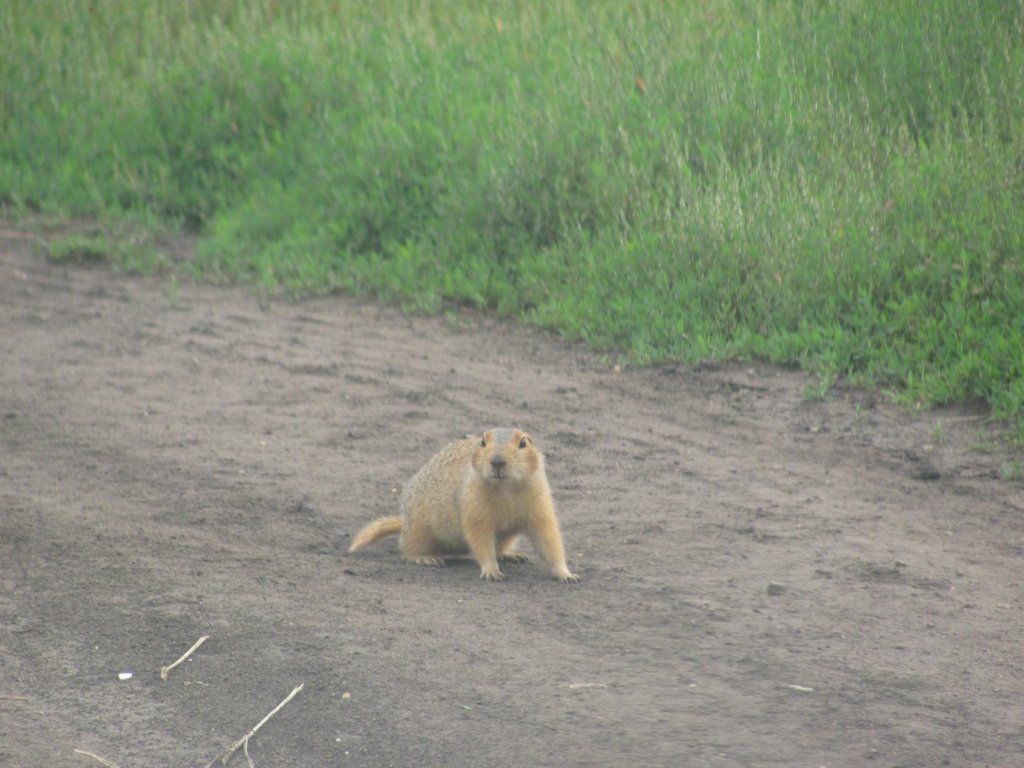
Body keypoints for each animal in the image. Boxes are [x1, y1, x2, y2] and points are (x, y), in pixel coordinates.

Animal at [350, 428, 577, 581]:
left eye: (523, 443)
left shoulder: (540, 500)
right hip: (419, 528)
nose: (497, 461)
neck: (506, 490)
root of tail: (405, 521)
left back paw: (511, 554)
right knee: (409, 548)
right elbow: (480, 537)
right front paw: (491, 571)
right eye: (483, 442)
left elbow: (548, 536)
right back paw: (425, 558)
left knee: (502, 546)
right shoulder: (474, 504)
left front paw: (566, 573)